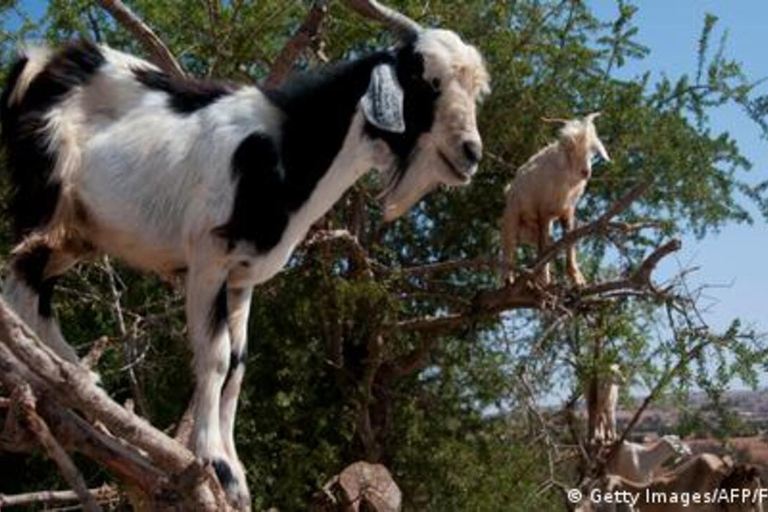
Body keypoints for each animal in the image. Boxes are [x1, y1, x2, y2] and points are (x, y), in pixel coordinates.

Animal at [0, 0, 488, 506]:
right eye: (427, 80)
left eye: (476, 90)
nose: (471, 153)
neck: (287, 149)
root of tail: (41, 62)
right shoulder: (209, 258)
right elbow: (214, 357)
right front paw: (216, 463)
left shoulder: (243, 276)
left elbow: (237, 364)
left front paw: (237, 472)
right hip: (46, 201)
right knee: (19, 285)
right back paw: (59, 377)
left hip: (79, 233)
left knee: (31, 288)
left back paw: (75, 378)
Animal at [500, 112, 608, 286]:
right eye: (570, 147)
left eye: (591, 149)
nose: (585, 172)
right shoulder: (543, 211)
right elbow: (543, 249)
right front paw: (544, 278)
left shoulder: (567, 211)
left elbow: (568, 241)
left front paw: (577, 279)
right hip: (512, 217)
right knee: (509, 246)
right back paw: (508, 278)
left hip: (533, 231)